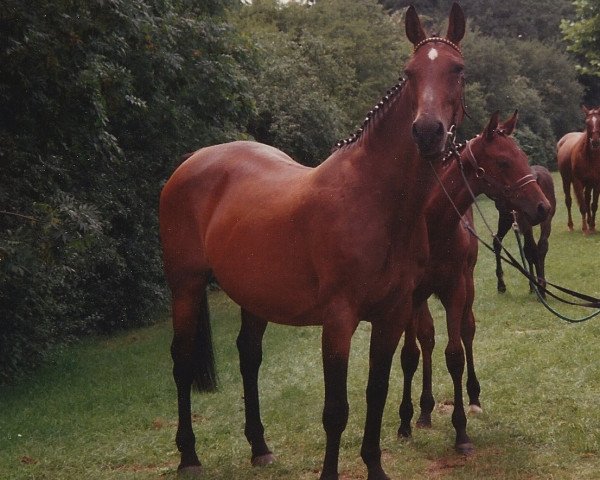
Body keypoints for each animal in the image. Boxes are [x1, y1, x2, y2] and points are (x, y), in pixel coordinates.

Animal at [161, 4, 468, 480]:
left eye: (457, 69)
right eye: (410, 72)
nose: (427, 132)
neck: (375, 199)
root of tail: (191, 162)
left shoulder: (393, 314)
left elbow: (376, 393)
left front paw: (375, 466)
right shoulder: (339, 319)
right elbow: (336, 409)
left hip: (255, 295)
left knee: (248, 356)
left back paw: (260, 447)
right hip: (186, 286)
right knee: (182, 360)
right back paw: (189, 455)